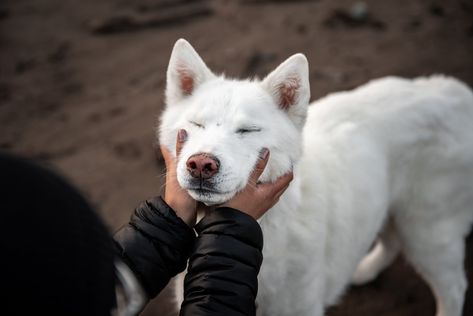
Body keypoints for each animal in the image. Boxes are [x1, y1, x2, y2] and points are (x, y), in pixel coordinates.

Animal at [159, 39, 472, 316]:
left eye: (247, 130)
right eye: (196, 124)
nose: (201, 164)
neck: (267, 227)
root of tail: (455, 92)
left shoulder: (299, 307)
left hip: (427, 232)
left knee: (455, 288)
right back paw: (363, 271)